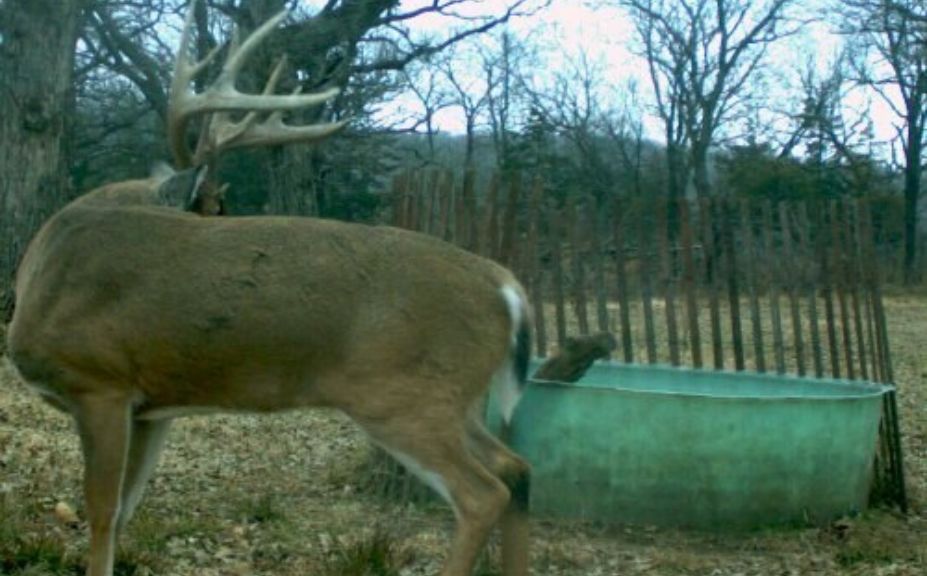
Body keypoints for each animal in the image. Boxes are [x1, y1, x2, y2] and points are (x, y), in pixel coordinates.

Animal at [5, 2, 528, 572]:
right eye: (215, 208)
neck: (46, 270)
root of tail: (504, 286)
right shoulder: (150, 406)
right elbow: (124, 511)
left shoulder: (100, 382)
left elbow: (101, 514)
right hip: (452, 397)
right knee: (514, 465)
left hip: (403, 396)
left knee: (483, 493)